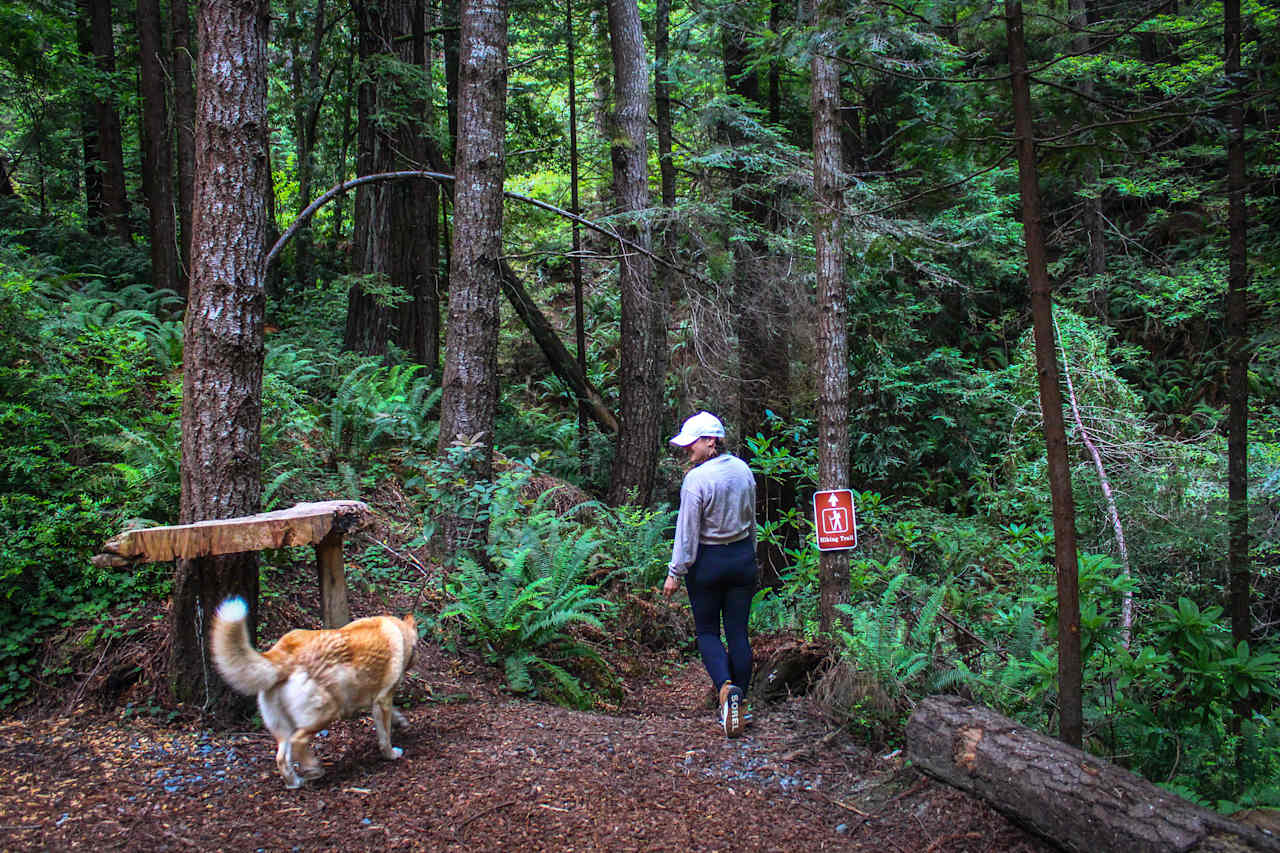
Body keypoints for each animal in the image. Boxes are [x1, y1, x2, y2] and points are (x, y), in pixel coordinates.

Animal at [211, 596, 414, 783]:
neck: (398, 631)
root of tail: (284, 655)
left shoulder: (378, 702)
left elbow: (394, 715)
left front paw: (401, 722)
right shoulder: (383, 700)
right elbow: (385, 735)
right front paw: (391, 754)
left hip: (283, 727)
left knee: (281, 757)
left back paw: (295, 782)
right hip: (325, 713)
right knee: (298, 742)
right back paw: (314, 769)